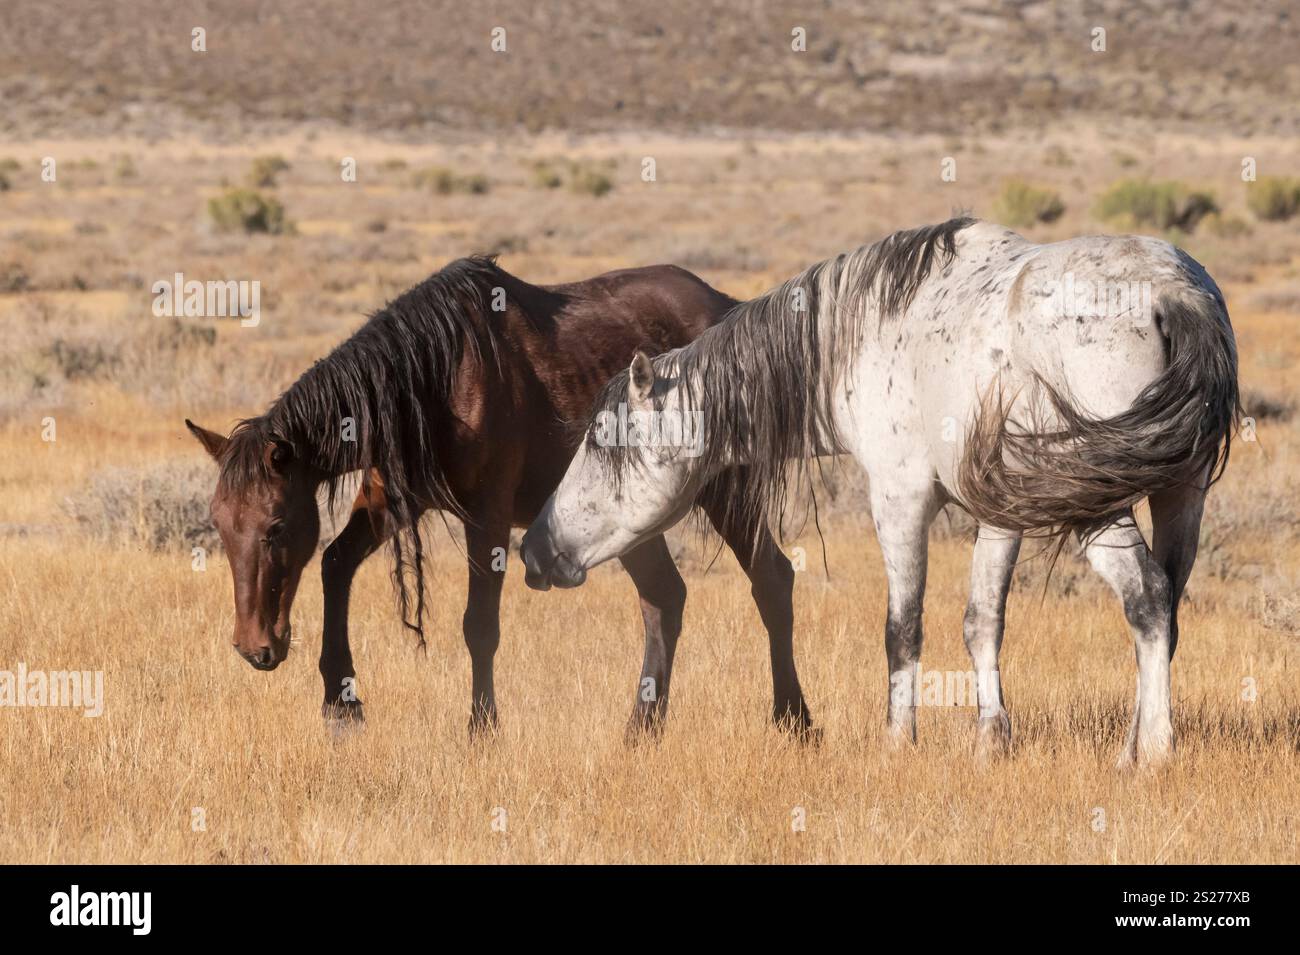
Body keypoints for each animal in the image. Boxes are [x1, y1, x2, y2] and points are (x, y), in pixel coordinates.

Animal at [185, 256, 814, 739]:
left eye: (275, 526)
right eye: (219, 526)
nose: (254, 647)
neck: (433, 380)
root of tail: (728, 309)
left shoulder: (484, 521)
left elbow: (478, 626)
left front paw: (482, 729)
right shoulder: (392, 502)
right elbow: (336, 565)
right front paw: (342, 704)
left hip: (726, 492)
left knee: (771, 580)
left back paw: (794, 721)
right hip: (634, 519)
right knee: (665, 600)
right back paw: (642, 730)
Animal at [521, 217, 1240, 768]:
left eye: (602, 441)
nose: (534, 548)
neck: (864, 333)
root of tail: (1173, 296)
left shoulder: (899, 501)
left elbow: (903, 628)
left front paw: (898, 741)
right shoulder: (1000, 511)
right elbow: (982, 621)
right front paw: (991, 742)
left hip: (1102, 499)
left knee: (1146, 597)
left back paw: (1150, 755)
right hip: (1179, 494)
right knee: (1165, 605)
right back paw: (1132, 742)